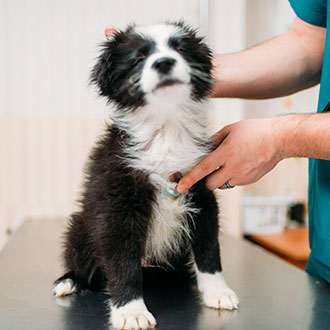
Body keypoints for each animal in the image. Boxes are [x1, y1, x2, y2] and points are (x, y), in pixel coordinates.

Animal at [54, 21, 240, 330]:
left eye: (179, 48)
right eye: (139, 58)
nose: (164, 62)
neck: (165, 127)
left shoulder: (201, 192)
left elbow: (208, 247)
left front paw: (218, 290)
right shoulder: (117, 204)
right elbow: (122, 262)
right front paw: (130, 310)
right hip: (80, 228)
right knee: (81, 261)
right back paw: (68, 281)